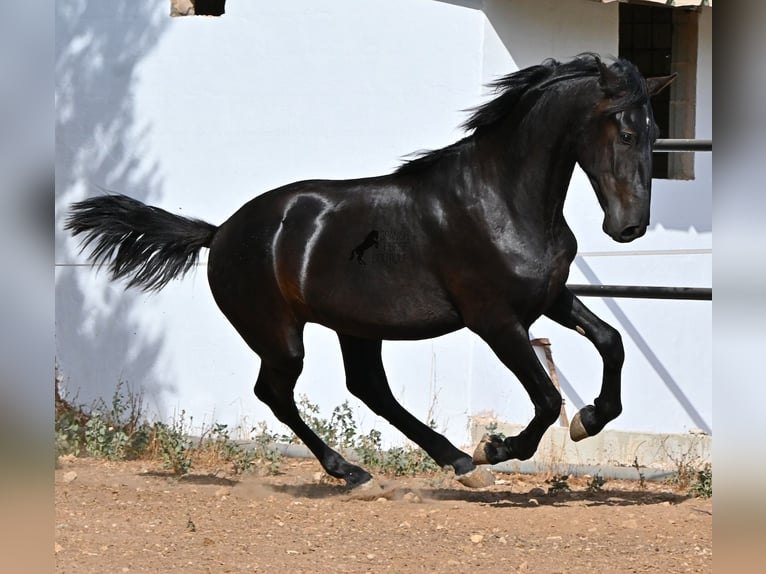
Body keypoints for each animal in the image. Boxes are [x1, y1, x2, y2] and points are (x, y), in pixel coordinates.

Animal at [66, 54, 675, 490]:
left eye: (653, 136)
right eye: (625, 133)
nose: (629, 228)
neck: (501, 198)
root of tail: (220, 232)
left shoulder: (548, 297)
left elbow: (611, 342)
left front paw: (589, 419)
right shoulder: (496, 321)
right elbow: (546, 401)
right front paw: (497, 448)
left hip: (355, 327)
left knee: (368, 388)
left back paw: (453, 463)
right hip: (280, 335)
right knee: (277, 392)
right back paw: (359, 471)